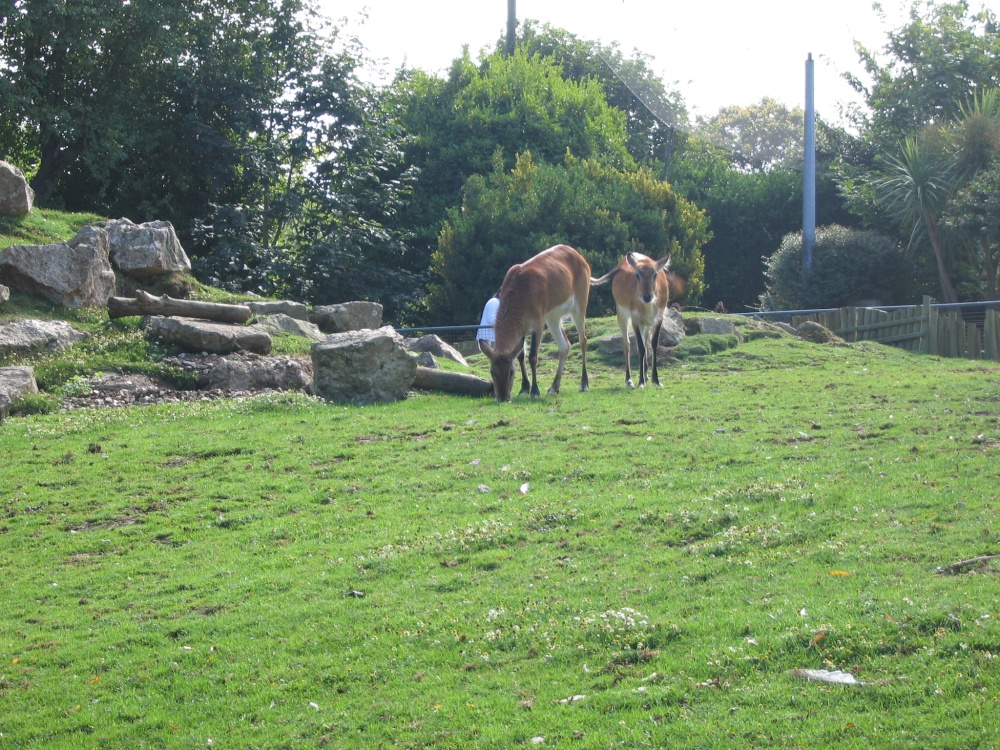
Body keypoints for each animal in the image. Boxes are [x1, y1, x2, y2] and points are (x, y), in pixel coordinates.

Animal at [478, 247, 588, 402]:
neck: (521, 290)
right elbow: (520, 355)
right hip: (553, 318)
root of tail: (576, 253)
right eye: (492, 372)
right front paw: (524, 389)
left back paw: (584, 385)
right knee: (564, 345)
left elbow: (532, 357)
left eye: (511, 372)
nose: (503, 398)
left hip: (579, 307)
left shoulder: (538, 324)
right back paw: (553, 388)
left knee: (582, 340)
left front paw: (535, 391)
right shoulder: (522, 329)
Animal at [592, 254, 672, 390]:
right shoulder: (635, 319)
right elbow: (640, 347)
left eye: (655, 274)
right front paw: (641, 382)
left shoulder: (659, 317)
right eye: (637, 275)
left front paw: (656, 381)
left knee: (645, 340)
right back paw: (629, 380)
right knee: (627, 344)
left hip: (646, 324)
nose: (647, 296)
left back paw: (646, 375)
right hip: (621, 314)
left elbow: (653, 345)